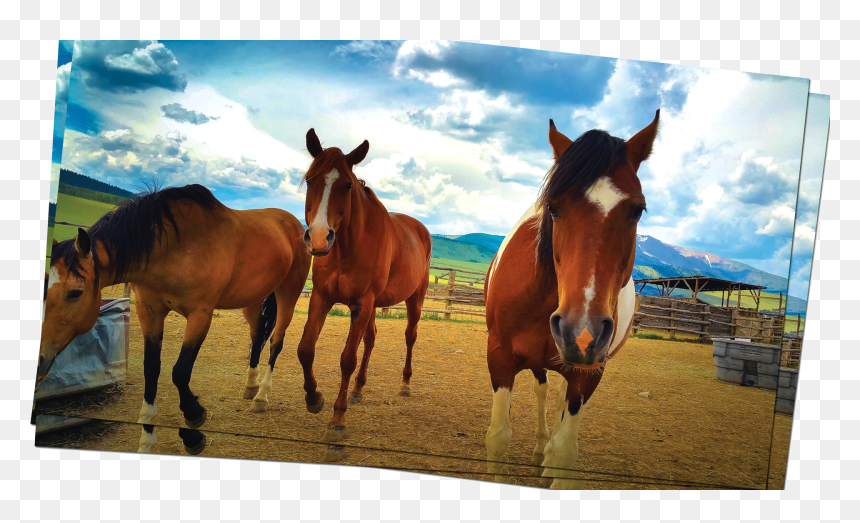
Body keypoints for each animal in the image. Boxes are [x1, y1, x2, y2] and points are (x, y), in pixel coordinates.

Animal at [38, 184, 312, 454]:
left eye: (75, 292)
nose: (40, 362)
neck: (171, 248)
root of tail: (295, 224)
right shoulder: (149, 312)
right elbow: (151, 369)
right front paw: (147, 439)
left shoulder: (200, 315)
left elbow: (179, 372)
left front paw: (193, 420)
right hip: (252, 299)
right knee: (257, 337)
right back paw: (251, 386)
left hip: (288, 293)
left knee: (276, 341)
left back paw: (261, 397)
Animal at [296, 129, 432, 461]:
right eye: (310, 180)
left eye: (347, 185)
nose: (319, 238)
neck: (347, 247)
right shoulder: (321, 298)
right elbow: (306, 349)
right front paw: (314, 398)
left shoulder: (362, 303)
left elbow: (347, 358)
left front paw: (337, 423)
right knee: (371, 339)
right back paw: (358, 389)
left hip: (414, 299)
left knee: (410, 336)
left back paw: (404, 383)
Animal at [484, 110, 659, 489]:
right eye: (553, 207)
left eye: (637, 210)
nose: (582, 332)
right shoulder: (500, 357)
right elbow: (499, 437)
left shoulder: (589, 373)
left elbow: (565, 453)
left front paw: (553, 459)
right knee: (542, 390)